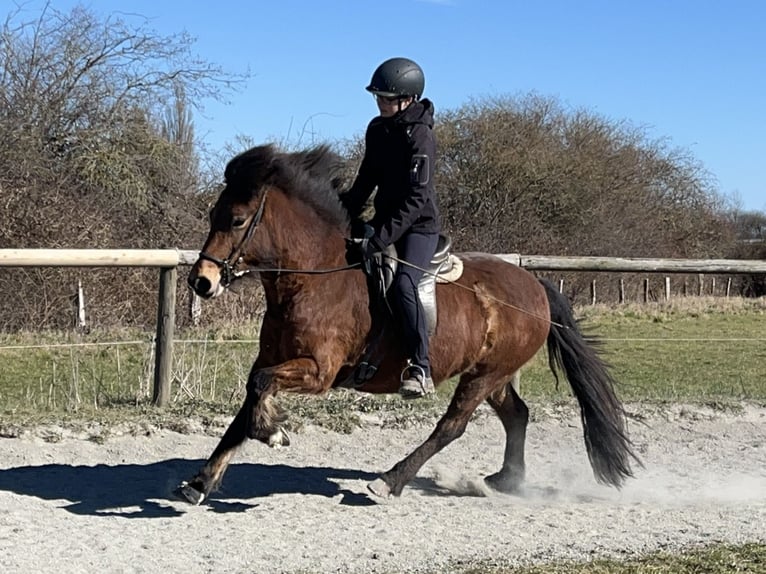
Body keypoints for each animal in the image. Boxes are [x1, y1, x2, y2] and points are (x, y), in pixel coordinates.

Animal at [178, 143, 639, 504]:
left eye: (238, 220)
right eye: (213, 214)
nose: (201, 281)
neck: (314, 278)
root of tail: (536, 286)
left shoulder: (319, 371)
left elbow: (259, 391)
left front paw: (273, 433)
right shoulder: (270, 359)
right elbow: (247, 403)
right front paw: (201, 482)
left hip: (484, 376)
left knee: (452, 427)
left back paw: (391, 480)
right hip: (493, 373)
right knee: (517, 415)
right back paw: (505, 480)